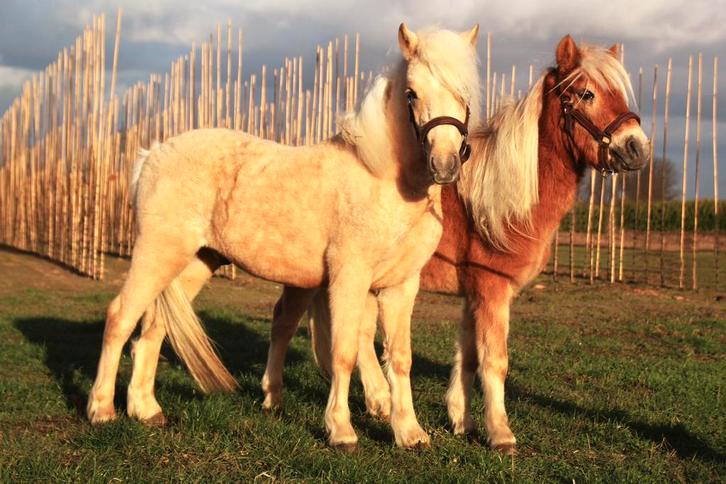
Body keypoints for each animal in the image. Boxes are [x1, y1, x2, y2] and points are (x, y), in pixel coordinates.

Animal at [86, 23, 482, 451]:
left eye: (466, 93)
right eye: (412, 93)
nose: (445, 164)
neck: (384, 178)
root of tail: (152, 154)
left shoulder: (400, 287)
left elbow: (400, 357)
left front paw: (409, 433)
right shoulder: (349, 279)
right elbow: (343, 351)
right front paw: (341, 430)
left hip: (194, 262)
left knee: (154, 329)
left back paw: (146, 410)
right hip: (157, 253)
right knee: (121, 317)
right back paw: (102, 410)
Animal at [269, 35, 649, 454]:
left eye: (618, 93)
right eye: (586, 94)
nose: (637, 147)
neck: (498, 199)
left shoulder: (474, 294)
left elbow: (468, 356)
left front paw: (461, 420)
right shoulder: (493, 290)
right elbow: (494, 360)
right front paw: (500, 433)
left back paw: (377, 400)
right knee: (286, 321)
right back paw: (277, 398)